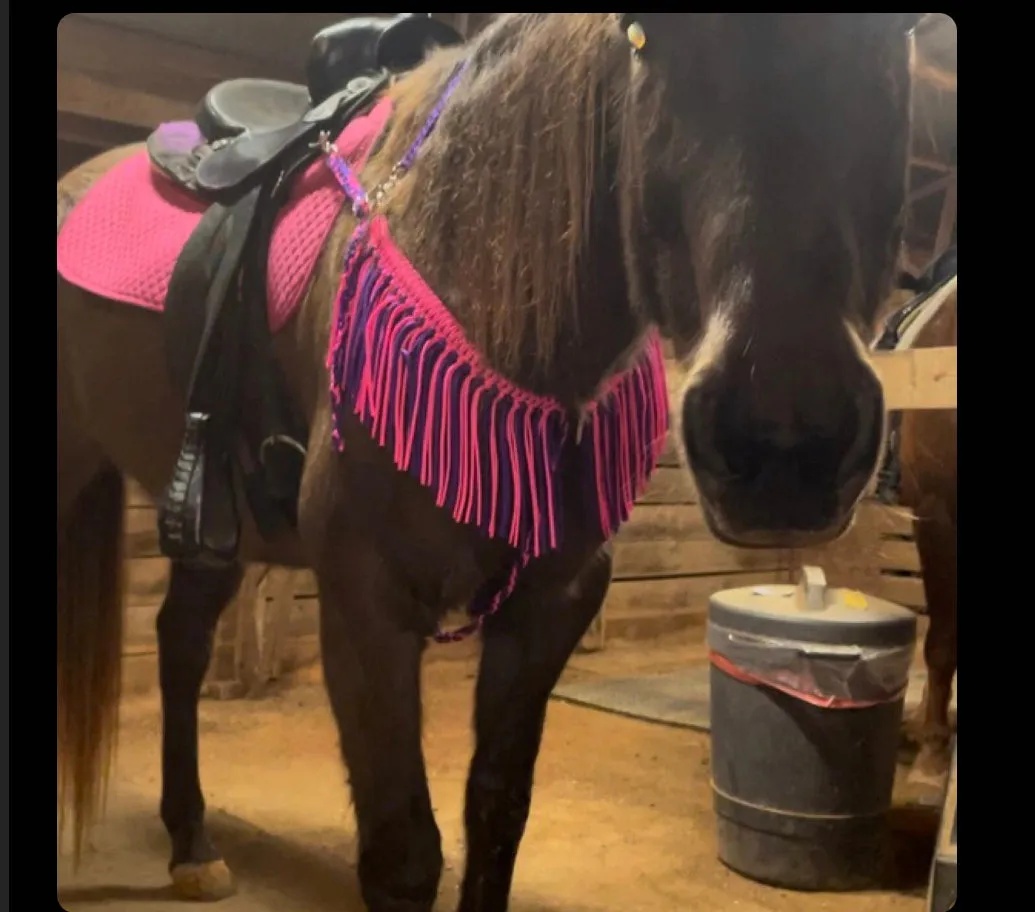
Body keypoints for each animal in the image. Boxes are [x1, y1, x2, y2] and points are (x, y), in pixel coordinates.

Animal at [56, 16, 919, 910]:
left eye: (901, 36)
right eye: (646, 36)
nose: (786, 439)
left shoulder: (549, 605)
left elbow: (497, 813)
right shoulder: (366, 602)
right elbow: (403, 852)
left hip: (213, 525)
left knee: (181, 643)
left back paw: (191, 845)